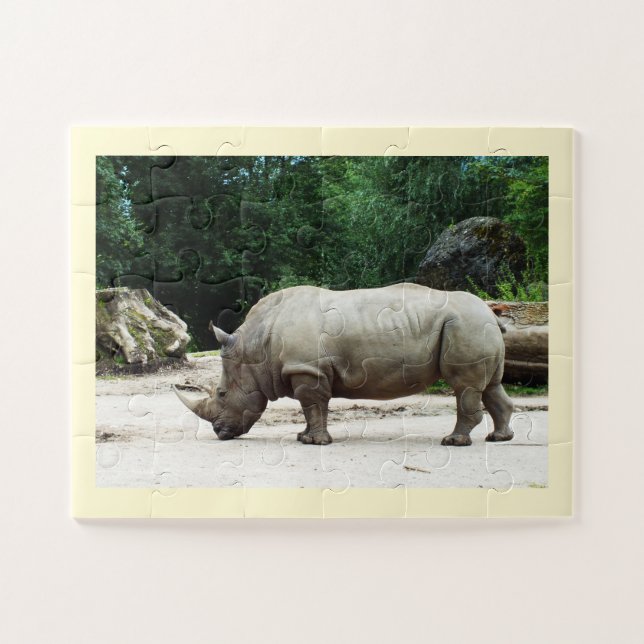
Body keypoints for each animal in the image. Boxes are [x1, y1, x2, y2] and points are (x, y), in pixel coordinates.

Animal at [174, 283, 514, 447]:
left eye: (221, 394)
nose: (219, 432)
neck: (254, 347)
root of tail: (491, 312)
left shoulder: (306, 369)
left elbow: (312, 406)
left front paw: (314, 442)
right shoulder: (309, 369)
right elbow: (314, 409)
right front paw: (303, 437)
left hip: (466, 324)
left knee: (465, 386)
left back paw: (453, 442)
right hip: (474, 325)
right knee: (491, 386)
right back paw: (499, 438)